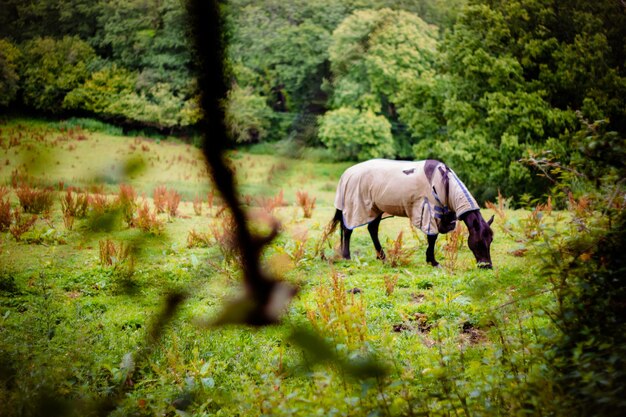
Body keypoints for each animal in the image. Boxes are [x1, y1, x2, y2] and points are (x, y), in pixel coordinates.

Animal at [326, 158, 492, 268]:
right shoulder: (428, 212)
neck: (444, 183)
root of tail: (348, 173)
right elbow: (432, 237)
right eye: (479, 242)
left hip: (375, 208)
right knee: (348, 230)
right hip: (355, 207)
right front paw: (433, 261)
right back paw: (347, 256)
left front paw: (430, 260)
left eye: (490, 240)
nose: (487, 266)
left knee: (371, 229)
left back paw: (382, 257)